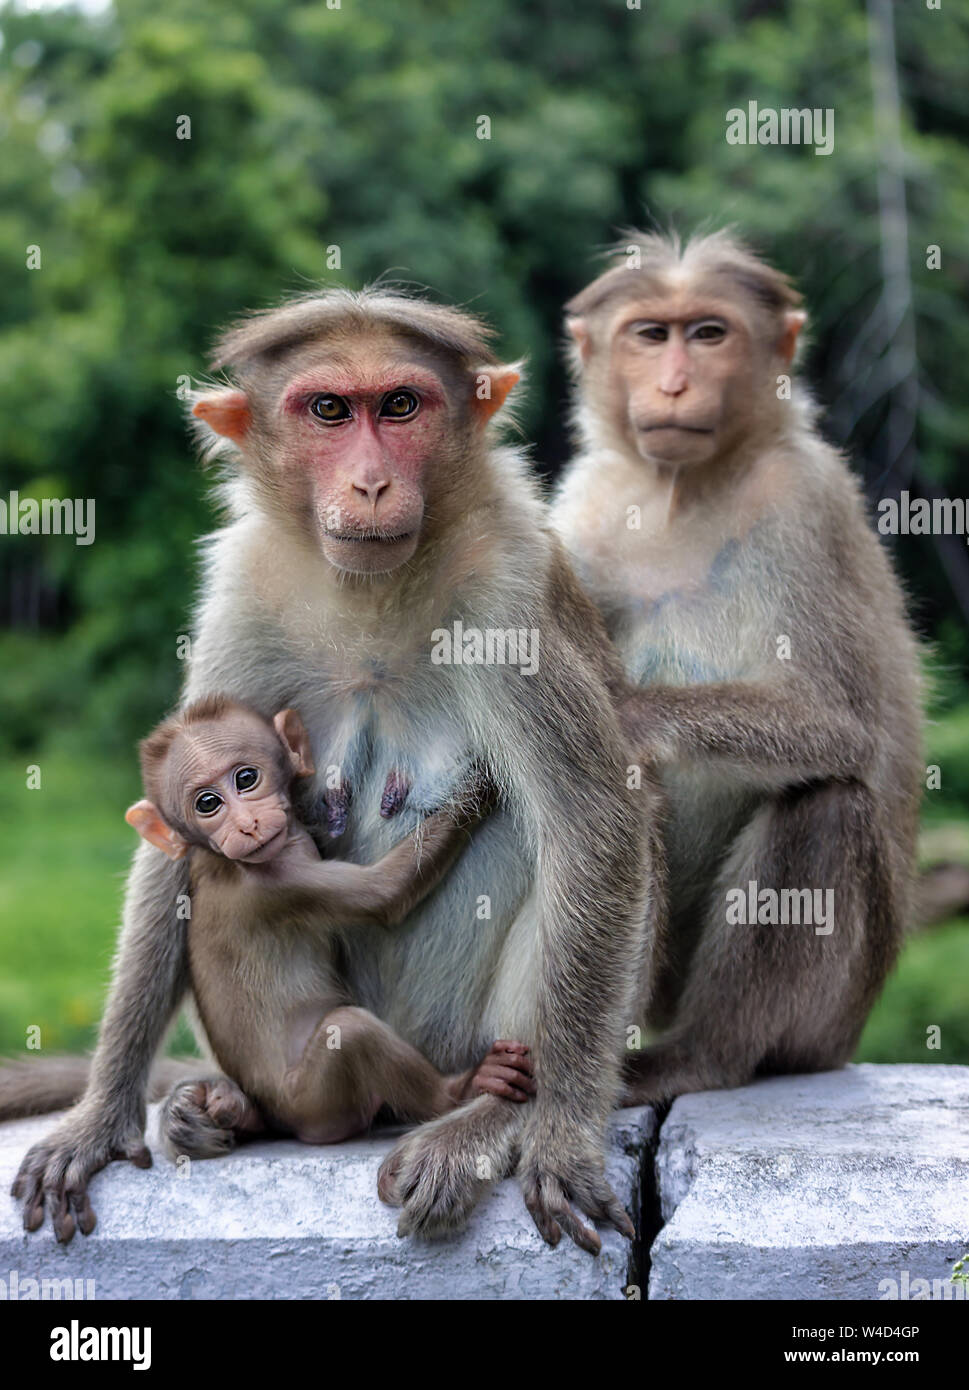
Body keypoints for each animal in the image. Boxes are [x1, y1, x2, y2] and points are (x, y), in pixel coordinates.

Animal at [124, 689, 533, 1156]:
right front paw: (478, 788)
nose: (245, 826)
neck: (222, 858)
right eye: (207, 804)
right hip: (316, 1101)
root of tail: (288, 1121)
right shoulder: (284, 880)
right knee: (350, 1031)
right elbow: (385, 895)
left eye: (246, 778)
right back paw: (458, 1090)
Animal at [550, 233, 923, 1112]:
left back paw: (703, 1056)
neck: (679, 491)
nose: (674, 383)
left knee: (824, 803)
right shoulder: (584, 505)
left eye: (708, 334)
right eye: (651, 335)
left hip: (830, 1017)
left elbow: (841, 723)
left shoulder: (805, 503)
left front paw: (630, 716)